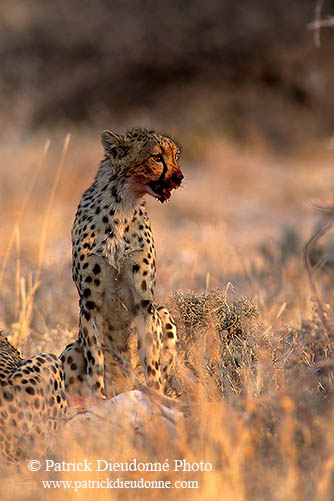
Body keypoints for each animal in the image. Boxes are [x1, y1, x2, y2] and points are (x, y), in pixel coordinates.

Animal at [61, 128, 184, 398]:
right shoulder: (89, 305)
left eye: (176, 156)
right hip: (70, 351)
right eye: (157, 157)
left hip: (164, 313)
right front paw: (98, 398)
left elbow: (152, 361)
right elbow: (95, 360)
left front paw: (155, 395)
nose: (180, 178)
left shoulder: (145, 304)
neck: (122, 206)